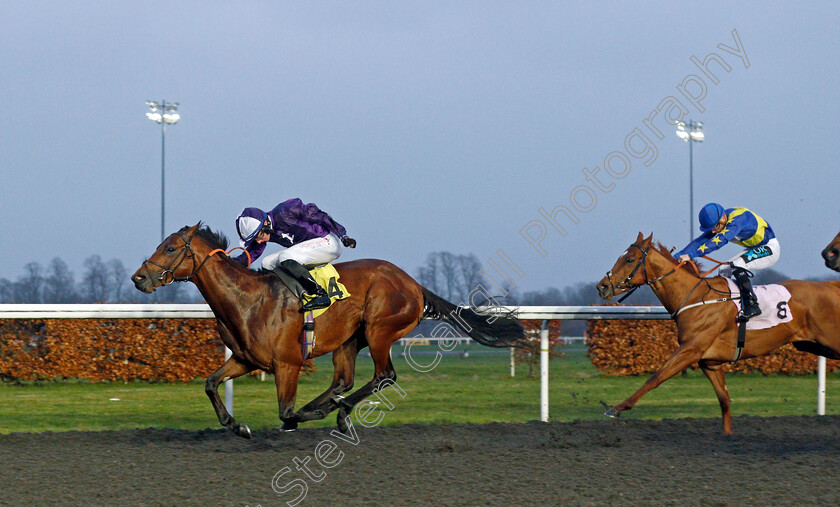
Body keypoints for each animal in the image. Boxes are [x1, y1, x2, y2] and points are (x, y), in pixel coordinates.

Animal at [131, 224, 524, 438]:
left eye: (170, 247)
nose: (139, 277)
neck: (246, 299)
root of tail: (413, 284)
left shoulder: (287, 363)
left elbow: (285, 411)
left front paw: (301, 418)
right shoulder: (245, 359)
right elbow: (211, 384)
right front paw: (237, 426)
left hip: (380, 330)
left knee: (383, 376)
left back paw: (338, 411)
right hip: (349, 340)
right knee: (342, 381)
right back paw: (336, 408)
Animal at [592, 232, 840, 434]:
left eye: (629, 259)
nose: (602, 286)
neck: (695, 297)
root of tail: (832, 285)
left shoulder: (691, 350)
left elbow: (656, 377)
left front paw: (616, 408)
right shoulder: (709, 362)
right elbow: (724, 399)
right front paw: (727, 435)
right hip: (812, 344)